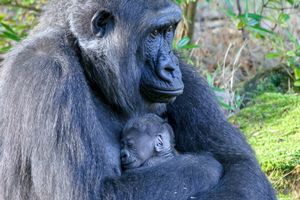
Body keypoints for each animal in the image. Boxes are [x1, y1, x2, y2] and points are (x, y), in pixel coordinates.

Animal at [0, 0, 276, 200]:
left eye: (169, 30)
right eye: (154, 33)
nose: (171, 68)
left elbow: (242, 166)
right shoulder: (47, 70)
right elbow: (92, 193)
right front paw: (201, 165)